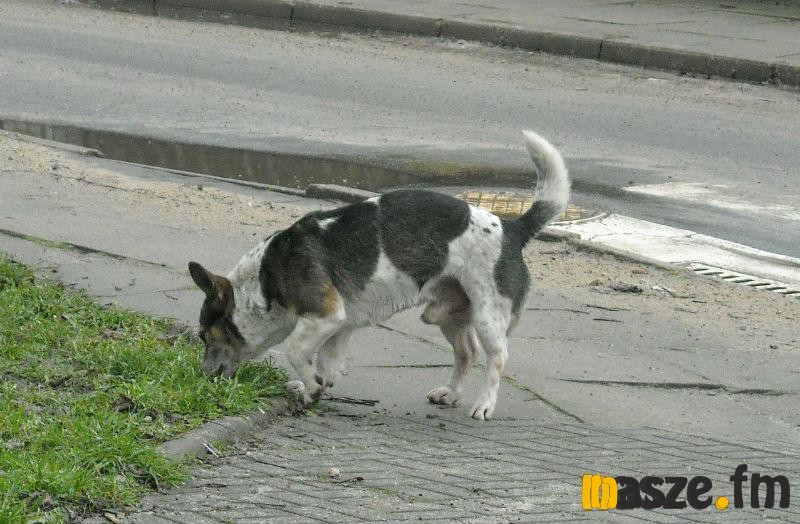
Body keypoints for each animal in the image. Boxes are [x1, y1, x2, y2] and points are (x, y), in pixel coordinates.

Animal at [189, 130, 569, 420]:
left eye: (205, 336)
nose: (201, 377)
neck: (264, 279)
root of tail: (512, 227)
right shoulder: (339, 325)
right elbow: (325, 360)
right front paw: (316, 384)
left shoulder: (326, 316)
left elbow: (296, 350)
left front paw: (310, 387)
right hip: (447, 315)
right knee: (466, 353)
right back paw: (450, 393)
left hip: (488, 316)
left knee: (497, 359)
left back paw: (484, 405)